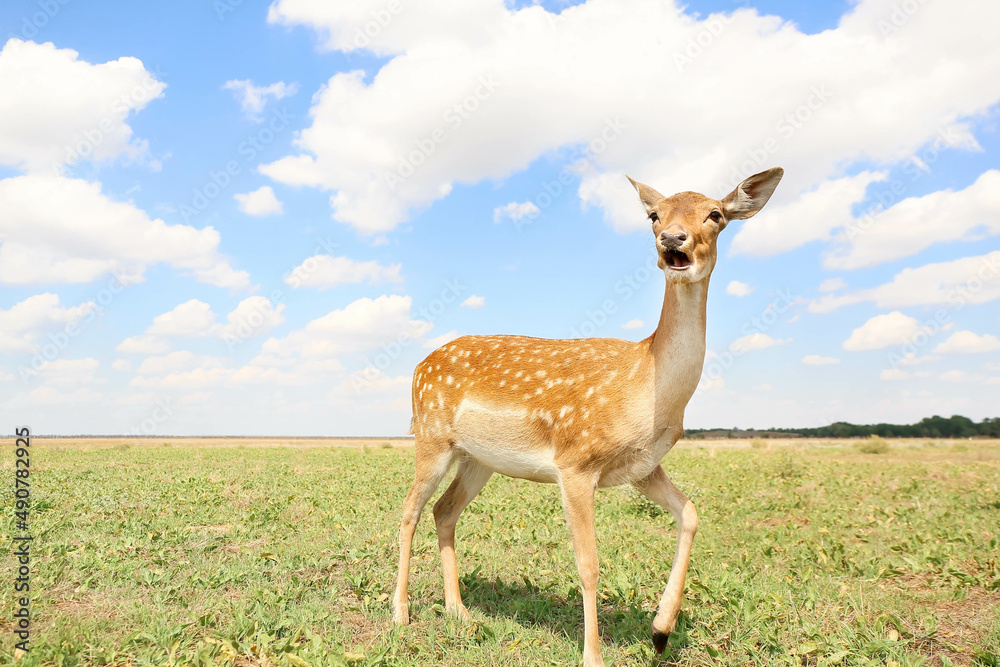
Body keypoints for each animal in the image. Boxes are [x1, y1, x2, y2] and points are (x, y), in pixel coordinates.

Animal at [394, 168, 784, 667]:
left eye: (715, 214)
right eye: (654, 215)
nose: (672, 240)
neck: (646, 385)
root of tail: (419, 366)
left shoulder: (643, 467)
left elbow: (692, 513)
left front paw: (660, 630)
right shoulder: (576, 462)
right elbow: (589, 564)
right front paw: (593, 656)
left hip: (479, 459)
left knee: (443, 510)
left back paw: (459, 611)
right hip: (431, 436)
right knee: (409, 510)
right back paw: (401, 614)